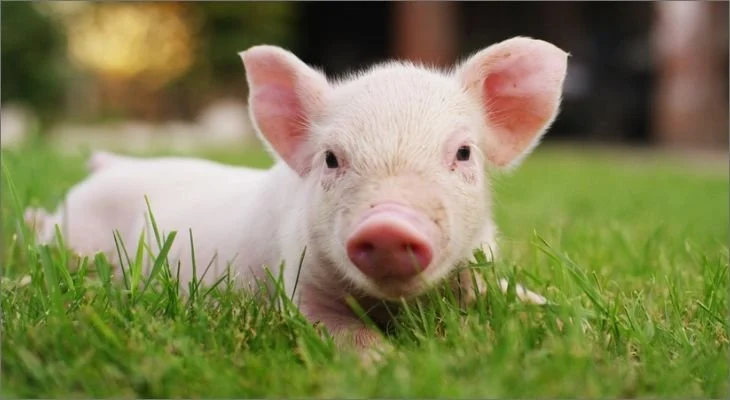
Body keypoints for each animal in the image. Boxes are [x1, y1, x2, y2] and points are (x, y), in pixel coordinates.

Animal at [24, 36, 567, 354]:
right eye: (330, 159)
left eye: (463, 153)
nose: (389, 224)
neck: (392, 305)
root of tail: (110, 164)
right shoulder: (298, 283)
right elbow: (342, 333)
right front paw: (388, 363)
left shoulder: (478, 266)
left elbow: (518, 298)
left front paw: (560, 321)